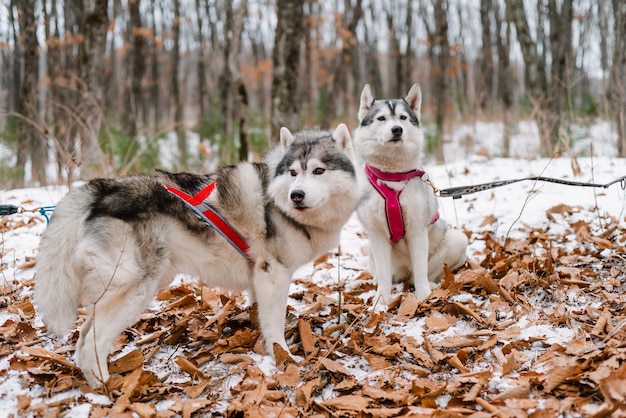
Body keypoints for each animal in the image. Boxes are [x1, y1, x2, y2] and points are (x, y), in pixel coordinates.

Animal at [35, 123, 360, 386]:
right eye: (293, 173)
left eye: (318, 170)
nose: (296, 196)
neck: (278, 204)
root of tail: (101, 189)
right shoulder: (273, 274)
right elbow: (276, 324)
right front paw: (284, 358)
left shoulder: (259, 278)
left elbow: (261, 317)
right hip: (136, 290)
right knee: (92, 342)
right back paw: (106, 389)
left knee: (82, 339)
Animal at [354, 84, 466, 306]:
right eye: (381, 118)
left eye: (403, 117)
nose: (397, 129)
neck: (391, 175)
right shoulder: (377, 236)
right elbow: (384, 274)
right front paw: (381, 300)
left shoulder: (417, 231)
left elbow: (421, 270)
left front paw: (423, 295)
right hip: (371, 248)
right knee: (386, 274)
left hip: (457, 239)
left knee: (417, 274)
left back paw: (429, 285)